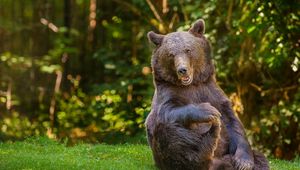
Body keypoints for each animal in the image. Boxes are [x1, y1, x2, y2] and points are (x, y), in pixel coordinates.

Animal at [144, 19, 268, 169]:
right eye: (171, 54)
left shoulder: (211, 91)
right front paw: (209, 111)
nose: (182, 70)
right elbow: (169, 111)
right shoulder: (168, 92)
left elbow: (233, 123)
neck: (192, 83)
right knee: (170, 134)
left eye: (188, 50)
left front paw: (243, 162)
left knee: (261, 159)